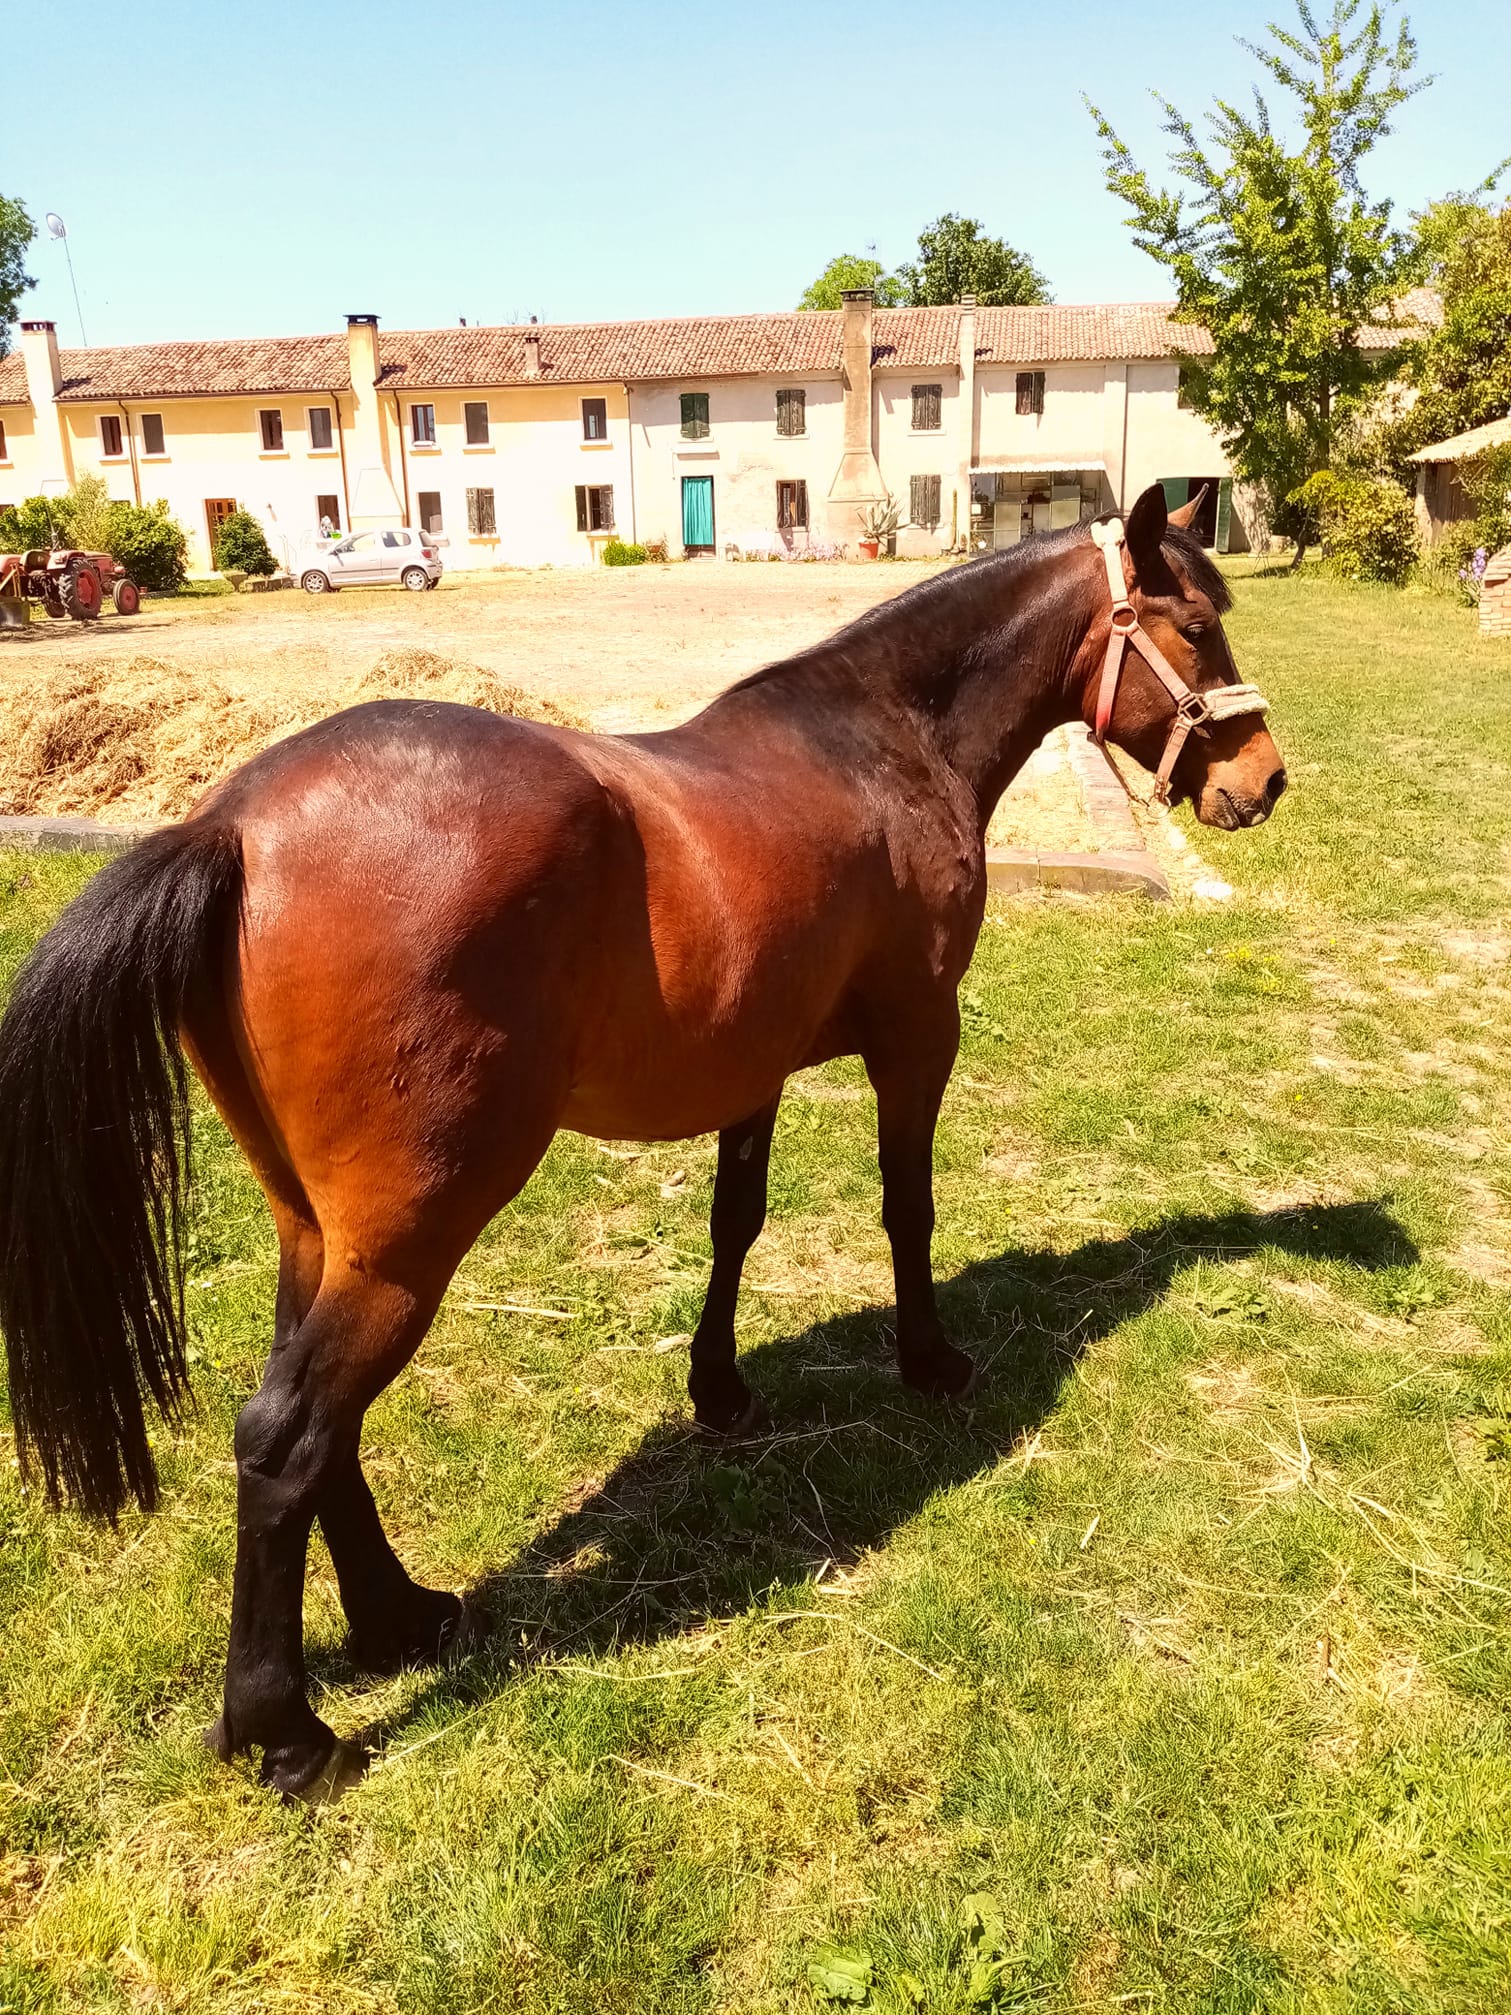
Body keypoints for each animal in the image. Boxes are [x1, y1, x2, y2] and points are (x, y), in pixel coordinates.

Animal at [0, 483, 1281, 1797]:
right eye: (1191, 624)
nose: (1264, 779)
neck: (880, 742)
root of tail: (236, 828)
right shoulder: (919, 1035)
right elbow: (905, 1207)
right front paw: (927, 1359)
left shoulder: (750, 1068)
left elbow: (735, 1224)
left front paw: (717, 1386)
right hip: (410, 1238)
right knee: (284, 1435)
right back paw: (287, 1729)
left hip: (321, 1230)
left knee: (321, 1425)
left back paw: (398, 1616)